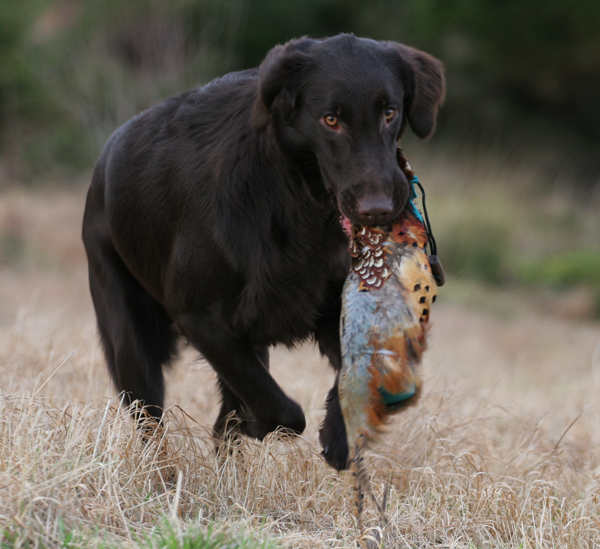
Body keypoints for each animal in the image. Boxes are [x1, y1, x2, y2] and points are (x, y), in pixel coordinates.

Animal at [81, 34, 446, 468]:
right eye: (331, 120)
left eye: (390, 113)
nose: (377, 209)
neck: (298, 203)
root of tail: (104, 159)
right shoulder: (199, 316)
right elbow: (281, 411)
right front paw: (263, 425)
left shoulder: (327, 310)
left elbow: (343, 373)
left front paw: (338, 436)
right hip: (130, 336)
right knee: (150, 422)